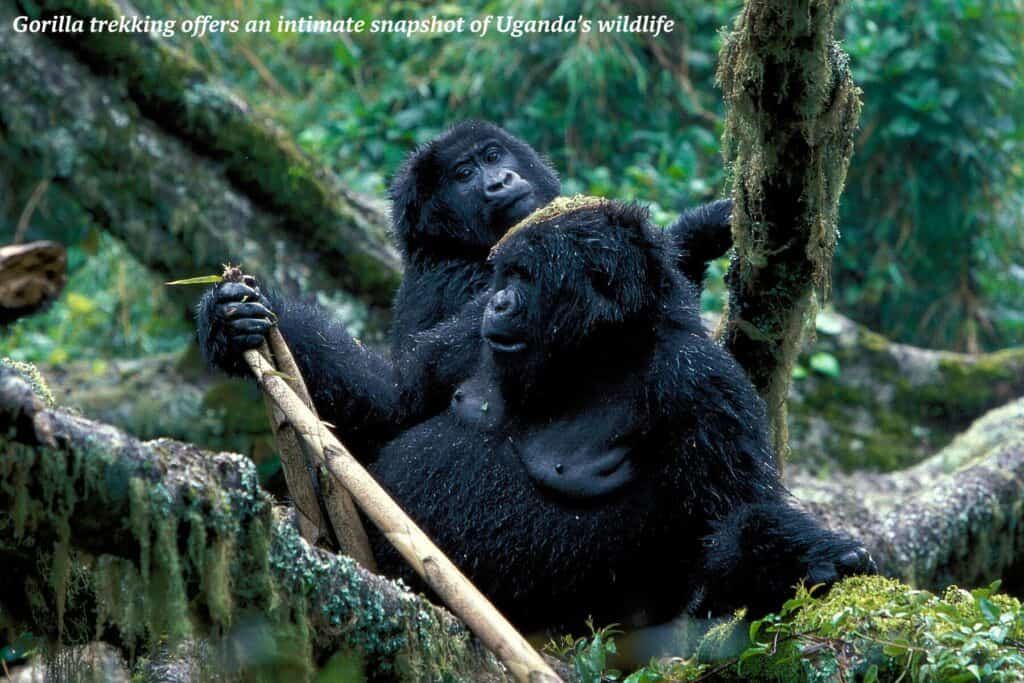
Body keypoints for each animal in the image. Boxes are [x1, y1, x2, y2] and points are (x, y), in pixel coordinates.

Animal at [195, 120, 733, 456]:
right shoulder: (474, 284)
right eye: (464, 174)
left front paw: (703, 226)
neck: (449, 243)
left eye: (493, 155)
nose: (498, 181)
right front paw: (227, 323)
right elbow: (400, 396)